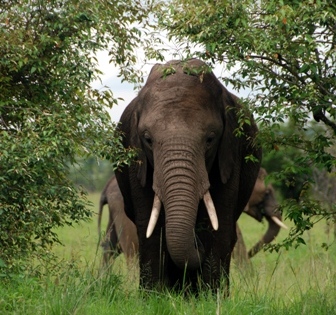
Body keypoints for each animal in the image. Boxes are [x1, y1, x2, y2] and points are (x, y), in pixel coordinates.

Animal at [114, 59, 262, 296]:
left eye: (210, 139)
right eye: (147, 139)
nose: (196, 243)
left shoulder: (232, 152)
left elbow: (219, 226)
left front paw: (213, 297)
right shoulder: (136, 159)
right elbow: (149, 228)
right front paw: (151, 297)